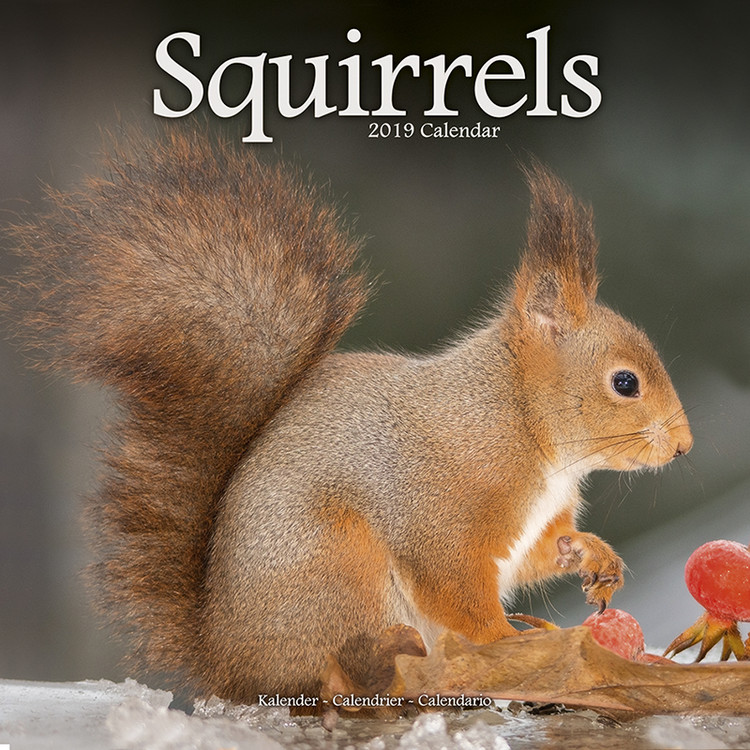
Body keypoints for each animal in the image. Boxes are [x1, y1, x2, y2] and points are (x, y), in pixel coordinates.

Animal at [9, 128, 693, 705]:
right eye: (625, 383)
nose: (684, 447)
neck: (518, 422)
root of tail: (229, 667)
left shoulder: (530, 528)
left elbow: (541, 555)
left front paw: (596, 557)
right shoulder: (441, 513)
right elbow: (455, 588)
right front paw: (508, 640)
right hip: (340, 570)